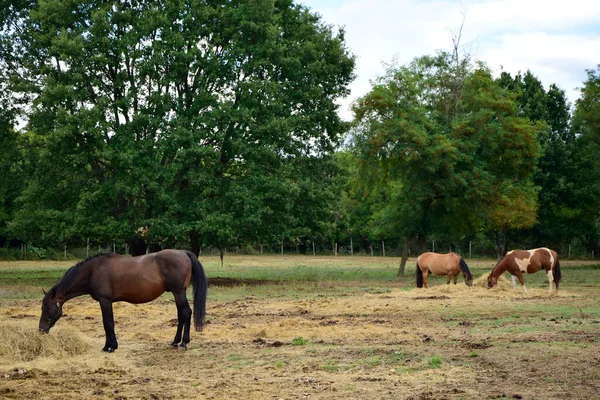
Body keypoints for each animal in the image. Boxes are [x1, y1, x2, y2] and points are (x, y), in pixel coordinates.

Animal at [39, 252, 209, 352]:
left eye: (47, 307)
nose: (41, 329)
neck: (93, 271)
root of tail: (184, 253)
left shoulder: (105, 301)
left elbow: (108, 323)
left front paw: (110, 347)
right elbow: (107, 323)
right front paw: (108, 346)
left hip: (178, 292)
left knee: (186, 313)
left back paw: (184, 343)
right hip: (177, 293)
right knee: (181, 315)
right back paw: (175, 341)